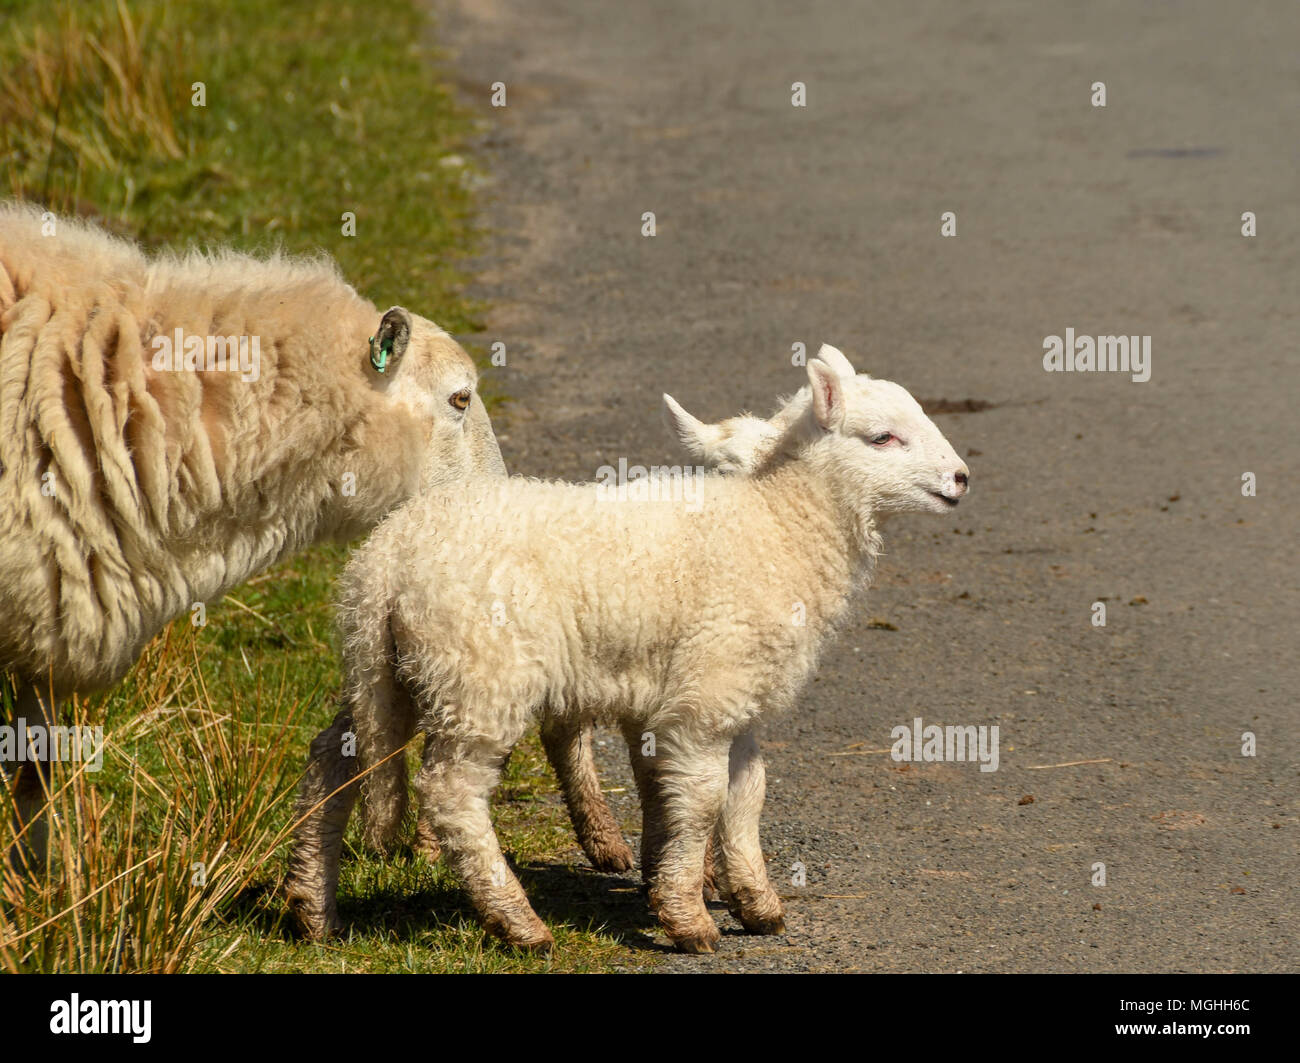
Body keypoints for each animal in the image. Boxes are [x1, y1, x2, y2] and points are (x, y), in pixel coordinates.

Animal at [287, 345, 969, 952]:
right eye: (883, 438)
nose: (961, 478)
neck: (777, 525)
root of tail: (383, 563)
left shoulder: (731, 693)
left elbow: (745, 794)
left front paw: (755, 902)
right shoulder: (707, 695)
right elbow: (702, 800)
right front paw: (688, 917)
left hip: (391, 670)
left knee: (335, 756)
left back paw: (313, 908)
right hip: (479, 674)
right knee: (453, 794)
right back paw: (518, 924)